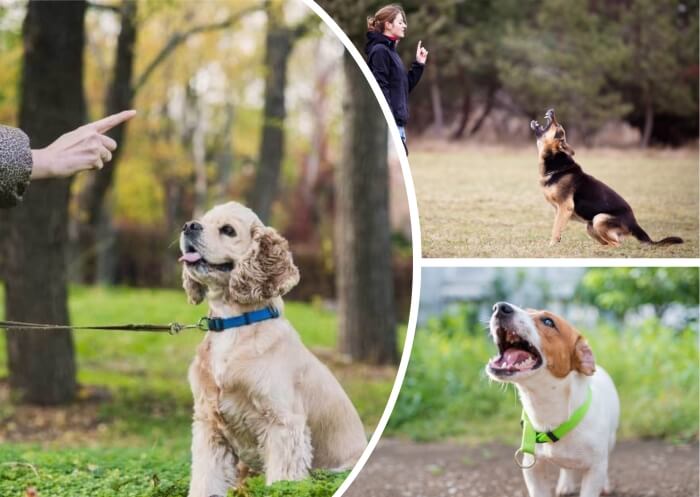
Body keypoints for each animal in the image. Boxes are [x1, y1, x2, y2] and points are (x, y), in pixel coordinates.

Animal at [179, 201, 366, 496]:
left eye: (228, 230)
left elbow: (282, 482)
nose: (189, 226)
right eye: (202, 220)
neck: (233, 324)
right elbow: (205, 481)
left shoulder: (283, 424)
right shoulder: (209, 426)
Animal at [486, 300, 616, 496]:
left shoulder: (595, 469)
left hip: (610, 440)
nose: (499, 307)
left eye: (548, 321)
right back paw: (566, 484)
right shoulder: (532, 467)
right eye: (526, 310)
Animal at [532, 109, 684, 248]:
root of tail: (634, 224)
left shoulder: (565, 208)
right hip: (590, 226)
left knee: (617, 244)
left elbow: (555, 229)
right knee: (610, 242)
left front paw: (551, 245)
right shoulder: (559, 211)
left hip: (599, 219)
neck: (557, 166)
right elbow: (557, 228)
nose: (552, 110)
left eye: (558, 127)